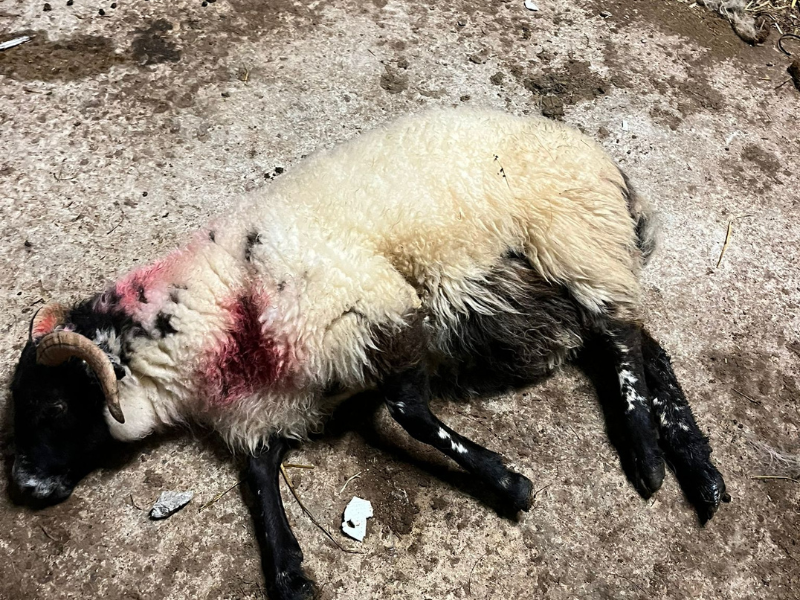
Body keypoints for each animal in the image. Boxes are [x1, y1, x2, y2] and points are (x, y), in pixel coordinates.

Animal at [9, 108, 728, 600]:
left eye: (53, 407)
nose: (23, 488)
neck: (221, 300)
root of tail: (618, 177)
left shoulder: (377, 310)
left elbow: (408, 412)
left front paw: (507, 482)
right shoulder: (280, 400)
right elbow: (260, 475)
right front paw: (289, 570)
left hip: (576, 242)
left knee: (623, 340)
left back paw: (647, 457)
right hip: (555, 287)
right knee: (642, 347)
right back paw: (699, 469)